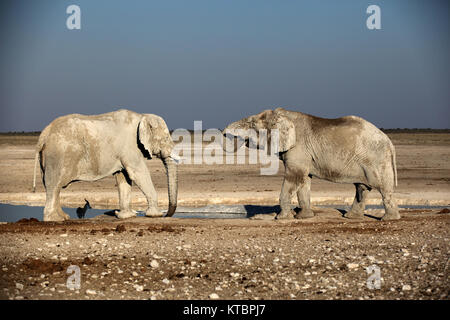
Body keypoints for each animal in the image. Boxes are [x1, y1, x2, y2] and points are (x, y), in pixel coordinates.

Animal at [32, 109, 178, 221]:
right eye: (166, 138)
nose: (166, 215)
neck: (142, 116)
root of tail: (44, 133)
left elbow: (123, 177)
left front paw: (125, 216)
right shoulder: (130, 147)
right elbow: (138, 173)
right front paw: (155, 215)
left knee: (54, 187)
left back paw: (64, 217)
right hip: (58, 155)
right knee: (54, 186)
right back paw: (54, 219)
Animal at [223, 107, 400, 220]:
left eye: (252, 124)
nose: (225, 133)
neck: (283, 116)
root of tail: (389, 142)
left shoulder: (299, 149)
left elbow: (294, 177)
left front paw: (282, 218)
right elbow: (304, 180)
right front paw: (304, 217)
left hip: (377, 159)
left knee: (384, 189)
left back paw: (389, 219)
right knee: (361, 188)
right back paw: (352, 217)